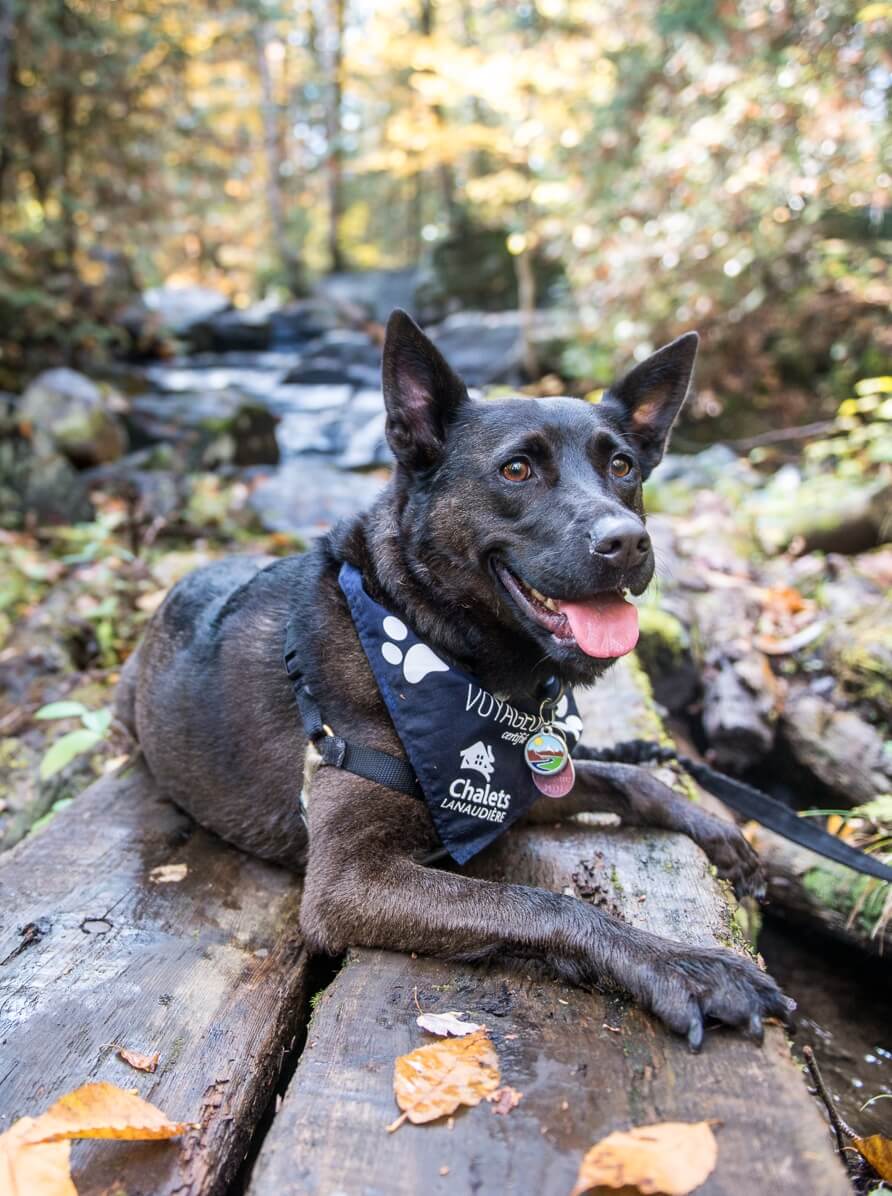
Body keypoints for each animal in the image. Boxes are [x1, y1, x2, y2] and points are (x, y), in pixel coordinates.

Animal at [116, 313, 784, 1052]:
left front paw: (715, 830)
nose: (628, 541)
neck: (432, 638)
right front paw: (680, 966)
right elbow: (537, 902)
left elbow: (628, 777)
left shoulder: (517, 790)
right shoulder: (347, 883)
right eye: (517, 469)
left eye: (623, 467)